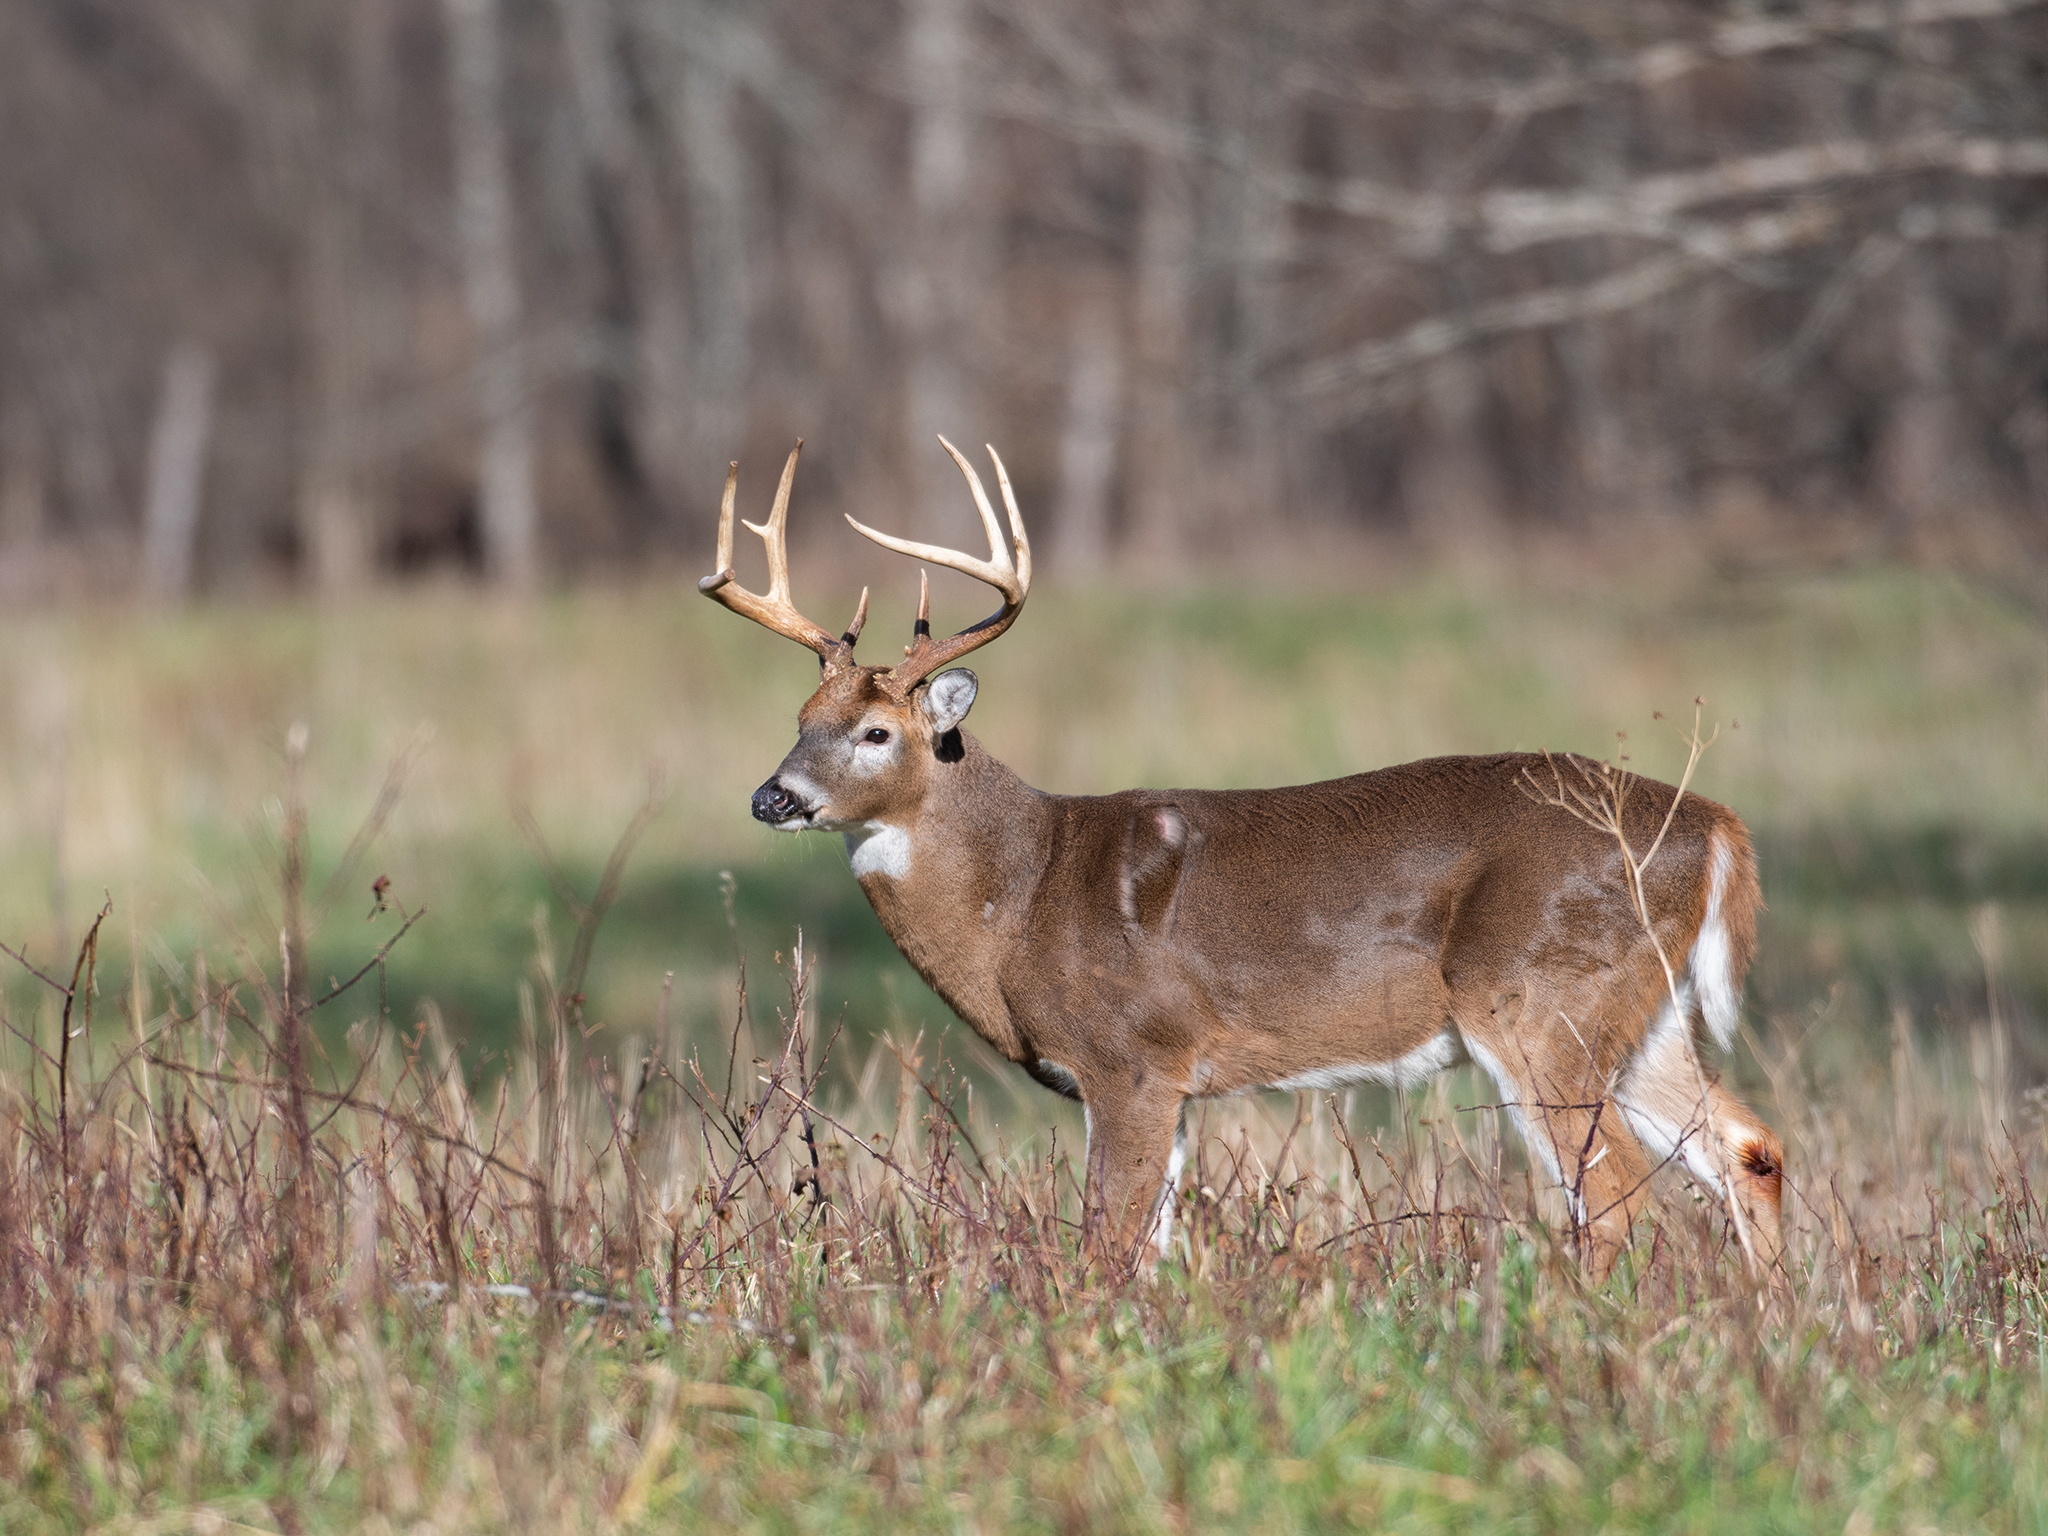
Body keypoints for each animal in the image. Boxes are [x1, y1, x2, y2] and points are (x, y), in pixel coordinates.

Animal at [700, 438, 1786, 1279]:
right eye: (800, 718)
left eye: (877, 732)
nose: (771, 796)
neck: (1022, 897)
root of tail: (1715, 825)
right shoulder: (1176, 1081)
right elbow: (1148, 1250)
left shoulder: (1130, 1056)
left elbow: (1105, 1247)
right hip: (1638, 1012)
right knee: (1750, 1148)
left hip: (1537, 1001)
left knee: (1618, 1202)